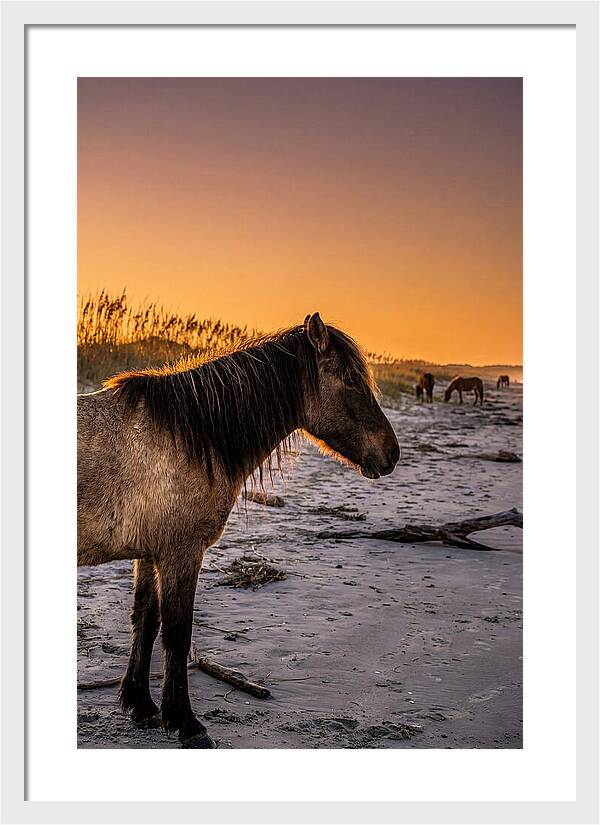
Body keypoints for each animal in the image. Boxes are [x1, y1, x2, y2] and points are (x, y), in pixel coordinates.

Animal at [77, 312, 400, 748]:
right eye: (351, 379)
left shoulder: (150, 553)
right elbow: (177, 632)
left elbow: (145, 619)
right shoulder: (182, 553)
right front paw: (186, 723)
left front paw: (141, 705)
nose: (392, 454)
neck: (191, 435)